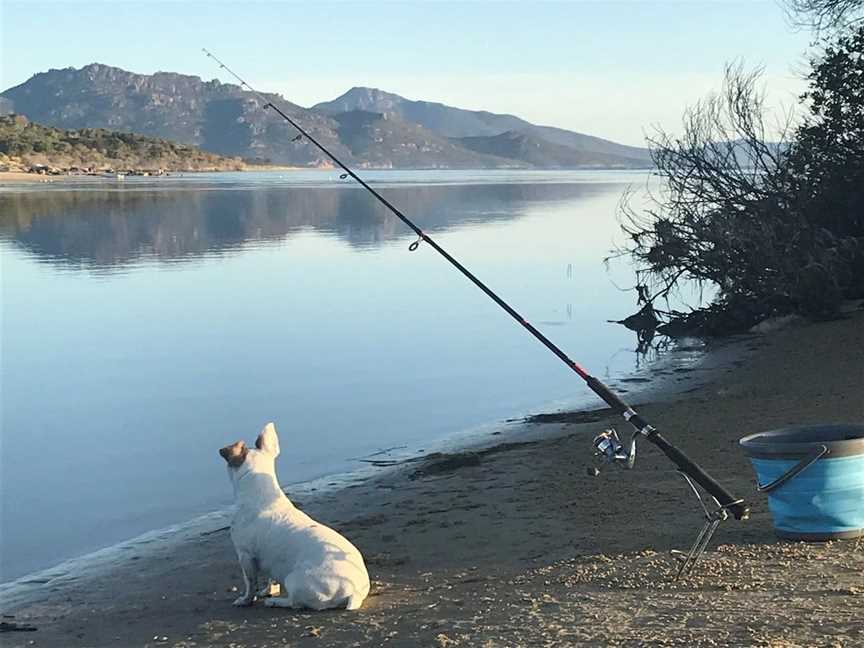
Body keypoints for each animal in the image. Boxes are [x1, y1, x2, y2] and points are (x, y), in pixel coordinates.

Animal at [218, 422, 370, 612]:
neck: (260, 493)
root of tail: (353, 591)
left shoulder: (245, 555)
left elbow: (250, 584)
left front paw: (246, 600)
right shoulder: (269, 560)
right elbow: (271, 580)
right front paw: (267, 591)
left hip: (293, 580)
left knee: (296, 603)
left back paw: (276, 602)